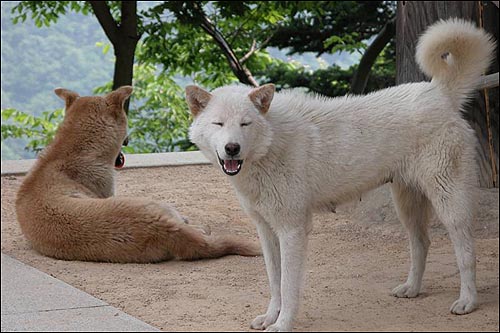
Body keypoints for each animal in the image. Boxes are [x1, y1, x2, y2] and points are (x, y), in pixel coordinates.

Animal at [185, 19, 496, 330]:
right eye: (218, 123)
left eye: (245, 124)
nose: (232, 148)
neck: (270, 146)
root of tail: (439, 92)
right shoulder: (266, 230)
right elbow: (274, 282)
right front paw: (269, 317)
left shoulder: (292, 230)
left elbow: (288, 286)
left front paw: (283, 324)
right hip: (407, 205)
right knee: (422, 244)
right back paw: (411, 289)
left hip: (450, 206)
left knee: (467, 254)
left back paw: (467, 301)